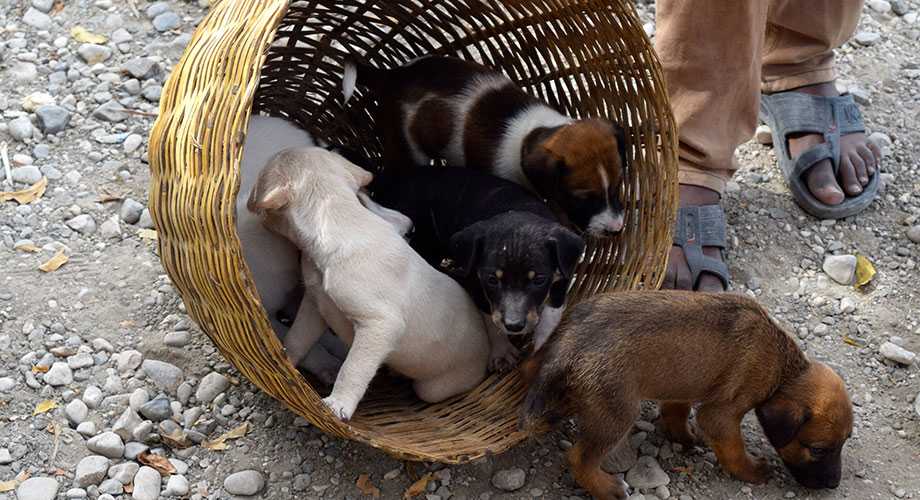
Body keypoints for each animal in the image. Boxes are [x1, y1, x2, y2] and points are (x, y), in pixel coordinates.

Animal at [244, 146, 488, 420]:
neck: (338, 221)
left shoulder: (380, 324)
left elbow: (352, 369)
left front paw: (338, 404)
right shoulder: (314, 307)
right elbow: (297, 339)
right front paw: (287, 367)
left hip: (434, 388)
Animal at [342, 55, 628, 235]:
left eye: (617, 188)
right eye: (582, 198)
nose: (615, 231)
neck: (531, 134)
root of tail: (392, 75)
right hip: (409, 148)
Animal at [372, 167, 584, 372]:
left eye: (539, 280)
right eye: (492, 280)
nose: (514, 326)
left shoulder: (564, 269)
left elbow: (554, 307)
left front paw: (542, 341)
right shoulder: (477, 284)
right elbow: (489, 317)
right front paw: (502, 351)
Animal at [520, 292, 852, 498]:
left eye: (844, 443)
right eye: (818, 449)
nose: (833, 484)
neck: (785, 369)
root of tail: (571, 343)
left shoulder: (682, 385)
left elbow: (676, 412)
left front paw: (684, 436)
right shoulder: (721, 414)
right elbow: (733, 449)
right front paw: (752, 471)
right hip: (617, 414)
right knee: (579, 457)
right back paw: (606, 488)